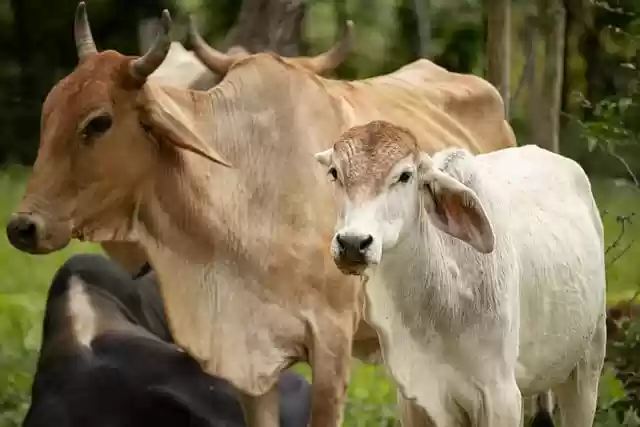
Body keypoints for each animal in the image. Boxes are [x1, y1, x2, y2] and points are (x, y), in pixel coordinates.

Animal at [313, 120, 607, 427]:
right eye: (334, 172)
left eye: (405, 176)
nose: (352, 243)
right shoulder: (414, 398)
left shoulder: (500, 397)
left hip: (587, 364)